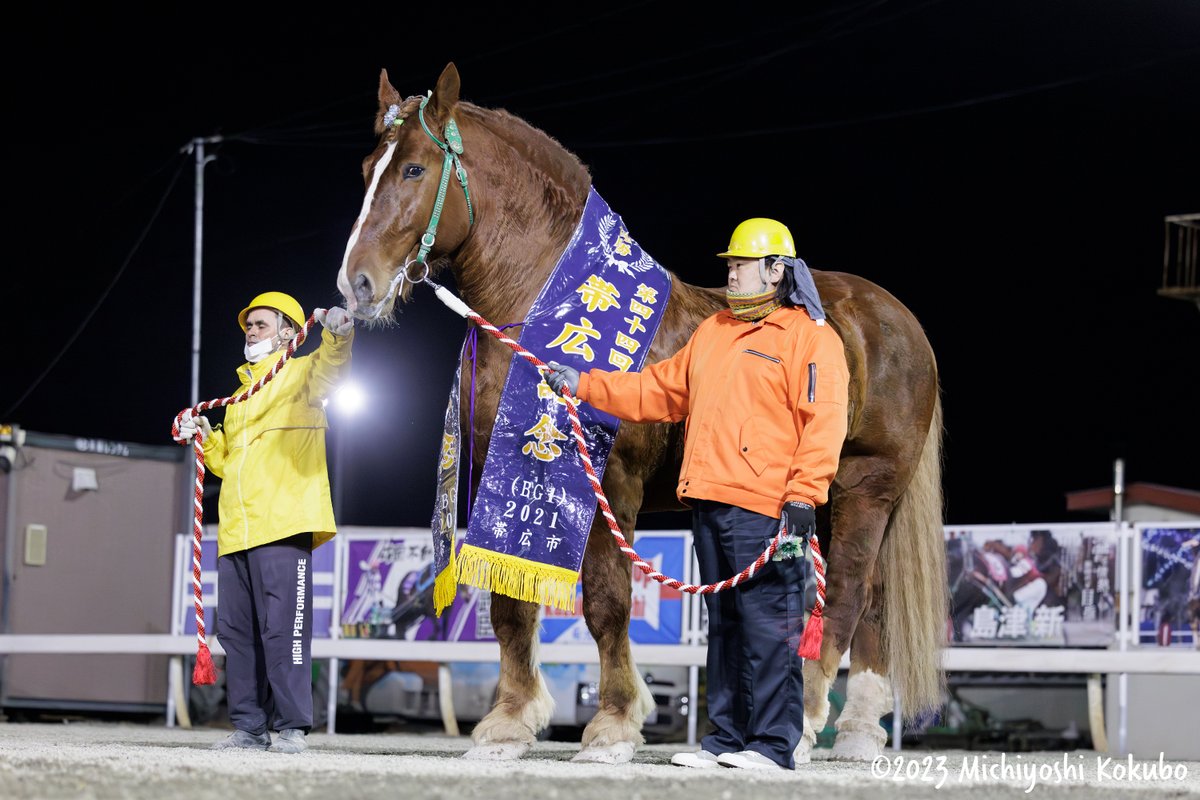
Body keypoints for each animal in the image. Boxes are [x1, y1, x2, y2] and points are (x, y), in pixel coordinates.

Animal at [336, 62, 948, 764]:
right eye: (368, 168)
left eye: (414, 169)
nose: (356, 283)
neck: (548, 306)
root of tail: (897, 320)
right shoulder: (505, 475)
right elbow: (510, 605)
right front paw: (509, 723)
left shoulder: (613, 487)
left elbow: (606, 602)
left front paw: (613, 725)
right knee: (874, 602)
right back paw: (858, 732)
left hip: (864, 487)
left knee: (845, 594)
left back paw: (808, 724)